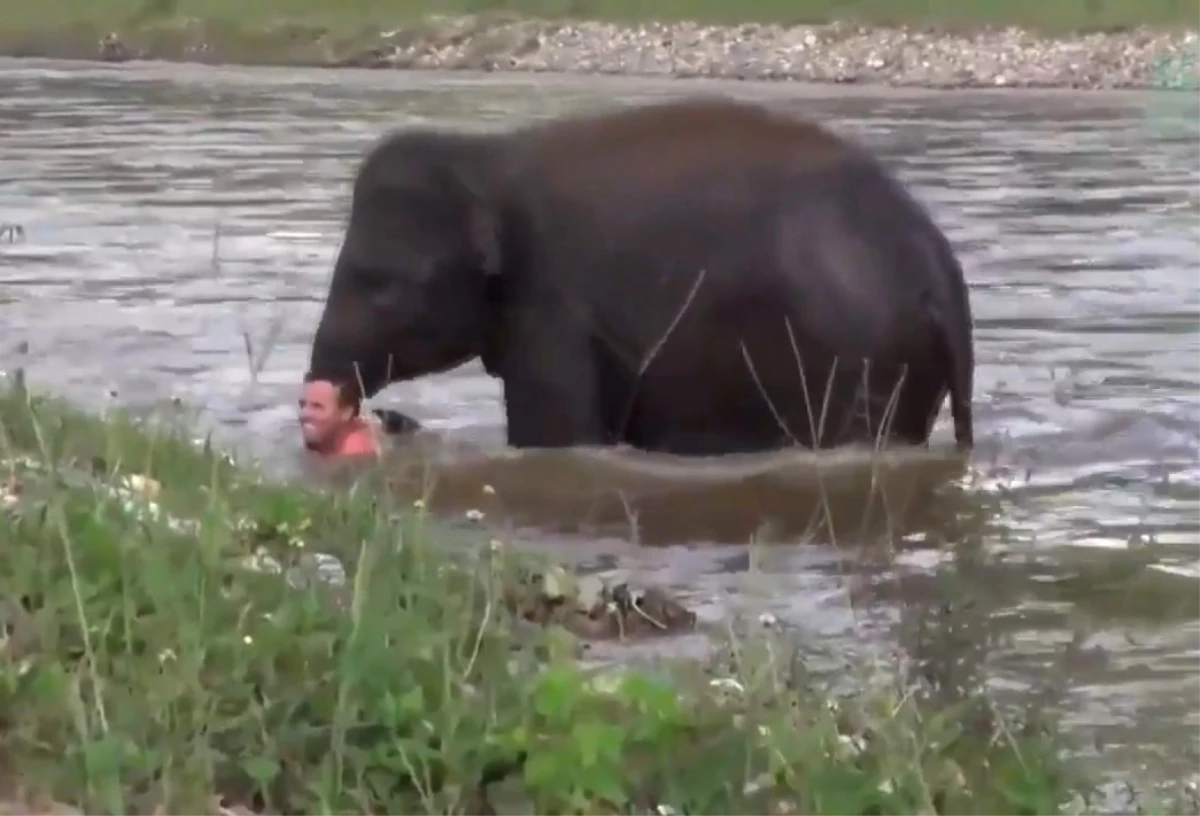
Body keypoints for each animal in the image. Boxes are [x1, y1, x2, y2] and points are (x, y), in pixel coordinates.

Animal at [309, 94, 974, 458]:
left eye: (380, 283)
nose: (315, 405)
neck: (485, 154)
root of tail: (938, 263)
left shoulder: (554, 307)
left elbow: (556, 439)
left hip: (859, 358)